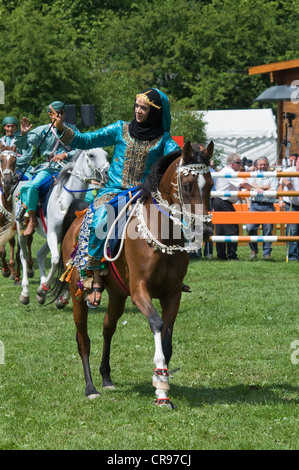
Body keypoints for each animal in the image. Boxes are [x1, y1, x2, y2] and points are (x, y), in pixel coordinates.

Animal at [53, 140, 213, 408]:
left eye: (210, 184)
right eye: (187, 185)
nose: (206, 229)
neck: (161, 237)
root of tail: (77, 218)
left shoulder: (172, 295)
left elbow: (167, 339)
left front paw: (162, 384)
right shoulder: (140, 291)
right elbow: (157, 324)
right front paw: (161, 389)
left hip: (118, 296)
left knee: (108, 328)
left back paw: (106, 377)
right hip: (77, 293)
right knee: (83, 339)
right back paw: (91, 387)